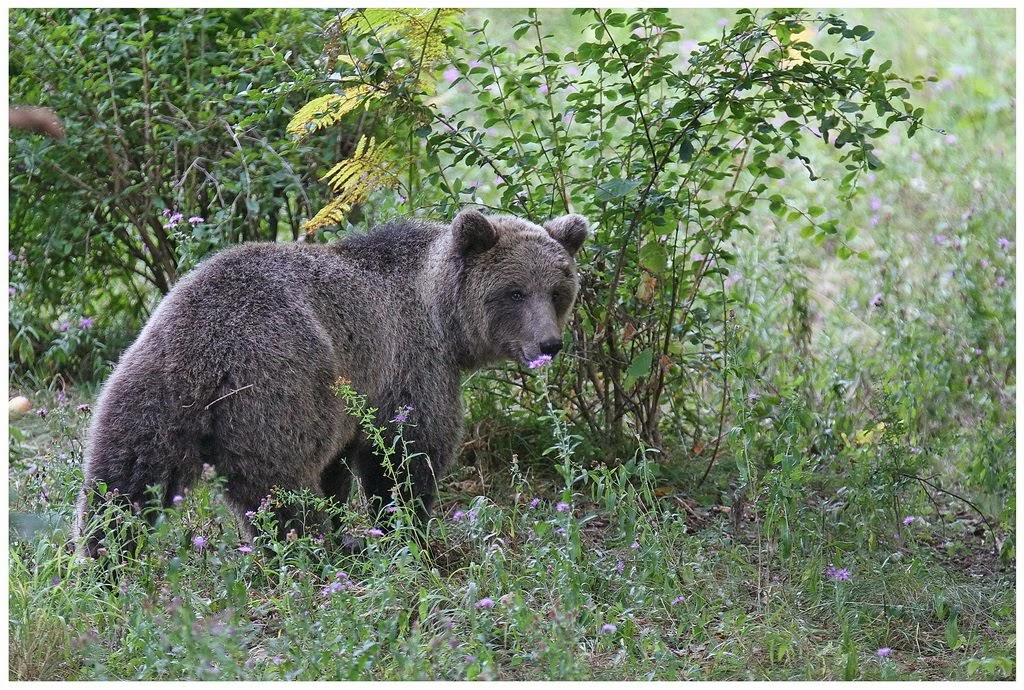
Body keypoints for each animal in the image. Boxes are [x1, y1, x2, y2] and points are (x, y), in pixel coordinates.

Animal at [75, 209, 589, 552]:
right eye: (515, 291)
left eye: (558, 290)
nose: (549, 343)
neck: (441, 315)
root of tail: (207, 346)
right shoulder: (407, 364)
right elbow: (406, 453)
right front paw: (407, 527)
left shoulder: (355, 396)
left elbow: (339, 467)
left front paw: (355, 524)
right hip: (280, 383)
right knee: (279, 486)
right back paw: (309, 549)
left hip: (148, 386)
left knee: (121, 481)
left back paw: (106, 559)